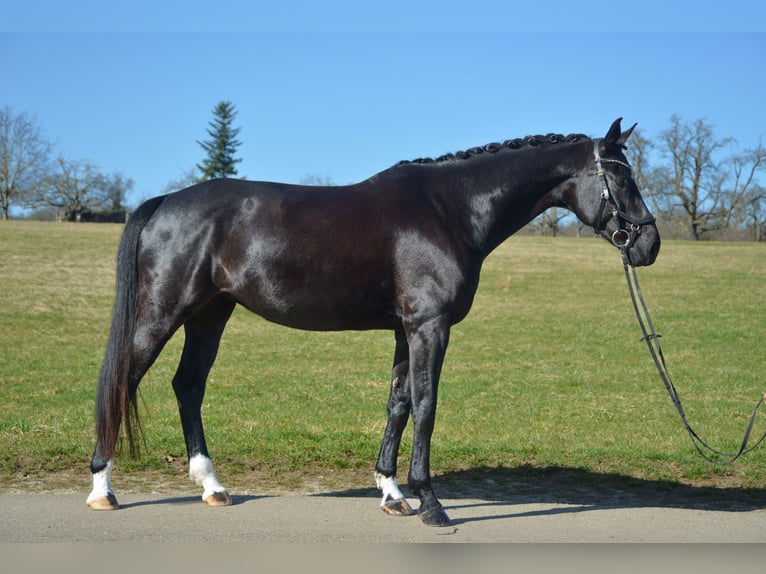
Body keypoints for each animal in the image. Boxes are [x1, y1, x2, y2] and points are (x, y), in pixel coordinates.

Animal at [86, 118, 660, 526]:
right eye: (621, 176)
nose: (649, 244)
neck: (449, 209)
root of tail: (165, 202)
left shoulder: (406, 330)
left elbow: (398, 404)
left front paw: (392, 492)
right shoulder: (430, 326)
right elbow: (427, 406)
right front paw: (431, 503)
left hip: (210, 314)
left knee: (188, 386)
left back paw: (212, 487)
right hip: (162, 312)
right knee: (121, 381)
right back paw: (102, 490)